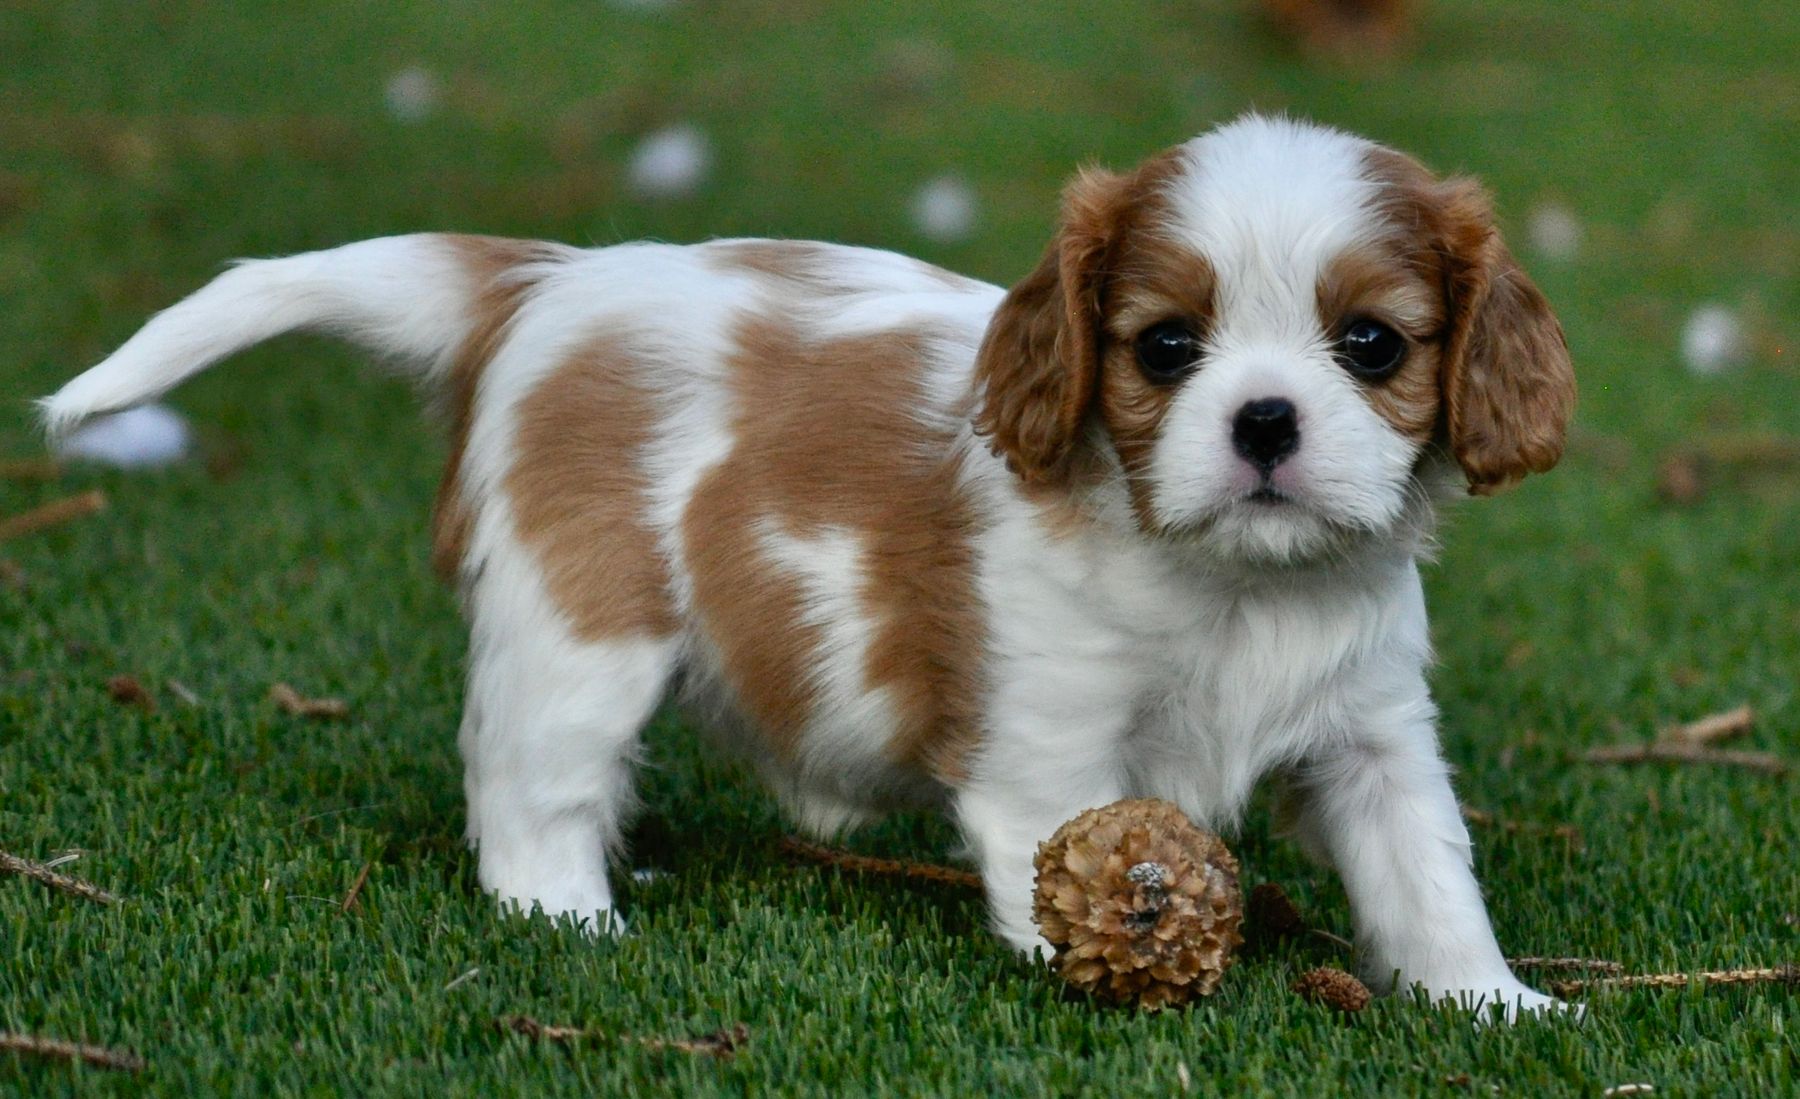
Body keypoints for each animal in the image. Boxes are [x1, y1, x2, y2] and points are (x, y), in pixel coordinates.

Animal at [45, 116, 1576, 1021]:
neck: (1237, 583)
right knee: (531, 781)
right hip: (580, 628)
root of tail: (544, 279)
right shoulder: (1050, 742)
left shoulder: (1373, 733)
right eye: (1165, 348)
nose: (1264, 422)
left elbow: (1426, 872)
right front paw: (1089, 970)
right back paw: (571, 917)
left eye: (1370, 344)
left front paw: (1494, 1004)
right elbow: (1051, 861)